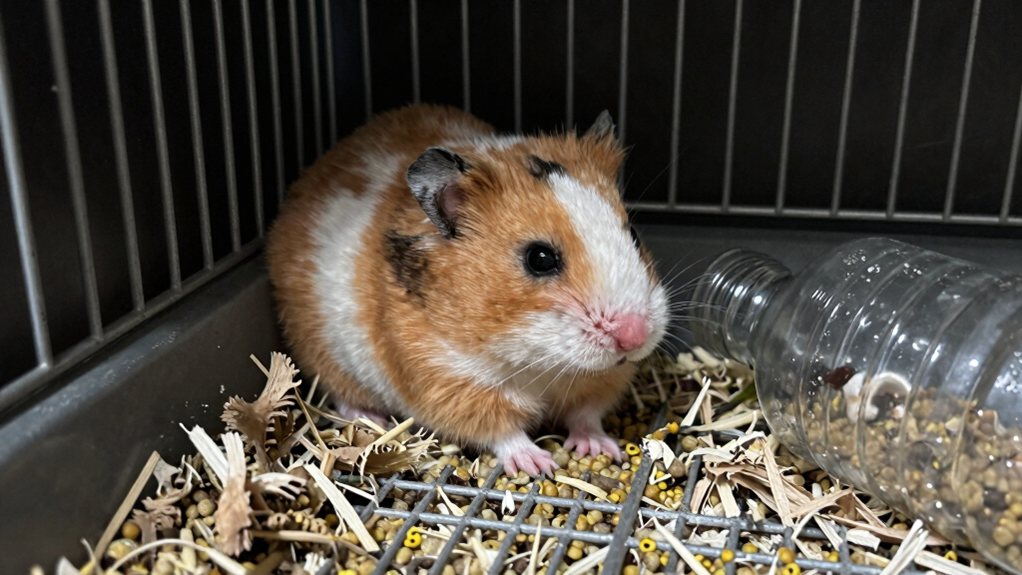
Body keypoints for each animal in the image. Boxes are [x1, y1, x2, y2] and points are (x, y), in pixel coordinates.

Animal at [266, 104, 669, 476]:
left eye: (634, 235)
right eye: (539, 258)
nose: (634, 338)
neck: (540, 362)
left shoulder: (601, 381)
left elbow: (586, 415)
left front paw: (600, 448)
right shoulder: (449, 380)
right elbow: (502, 431)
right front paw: (539, 465)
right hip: (325, 357)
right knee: (343, 394)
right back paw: (370, 420)